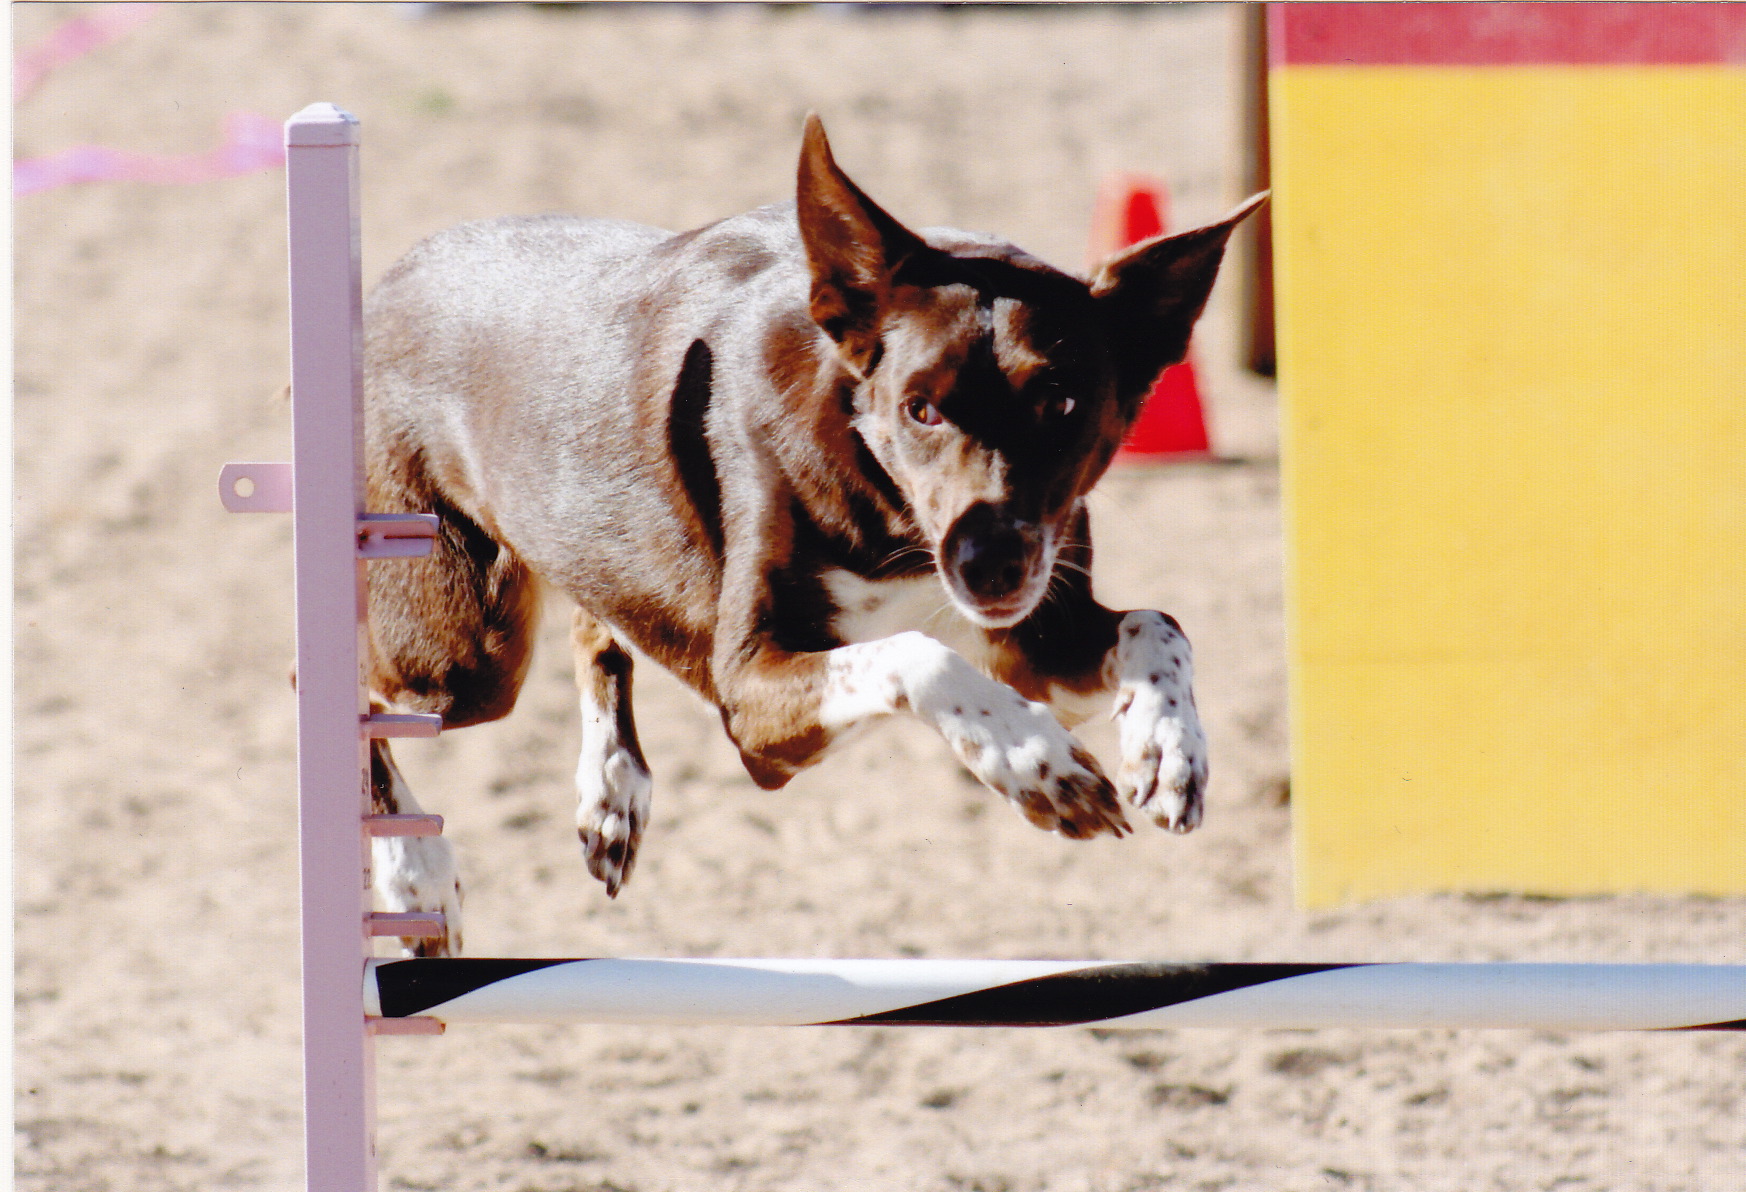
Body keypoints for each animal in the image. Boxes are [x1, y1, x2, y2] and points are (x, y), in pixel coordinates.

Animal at [361, 118, 1264, 963]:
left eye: (1064, 406)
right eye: (920, 408)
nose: (992, 566)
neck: (892, 510)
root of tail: (391, 277)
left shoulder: (1029, 643)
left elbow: (1158, 624)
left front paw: (1167, 748)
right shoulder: (752, 696)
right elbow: (916, 654)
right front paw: (1035, 763)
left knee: (595, 613)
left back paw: (611, 792)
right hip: (460, 654)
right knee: (355, 689)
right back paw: (416, 875)